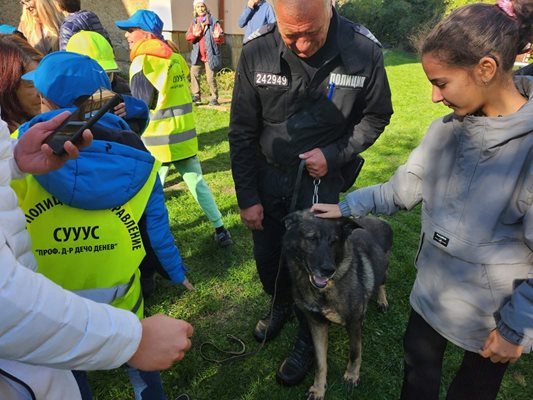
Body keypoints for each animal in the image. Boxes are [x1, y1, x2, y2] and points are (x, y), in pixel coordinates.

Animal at [282, 211, 390, 398]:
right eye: (311, 238)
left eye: (334, 241)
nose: (328, 270)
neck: (323, 290)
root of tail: (379, 219)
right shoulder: (316, 323)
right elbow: (320, 361)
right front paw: (318, 388)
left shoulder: (353, 324)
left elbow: (355, 352)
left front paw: (352, 376)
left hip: (382, 268)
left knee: (381, 282)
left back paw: (382, 300)